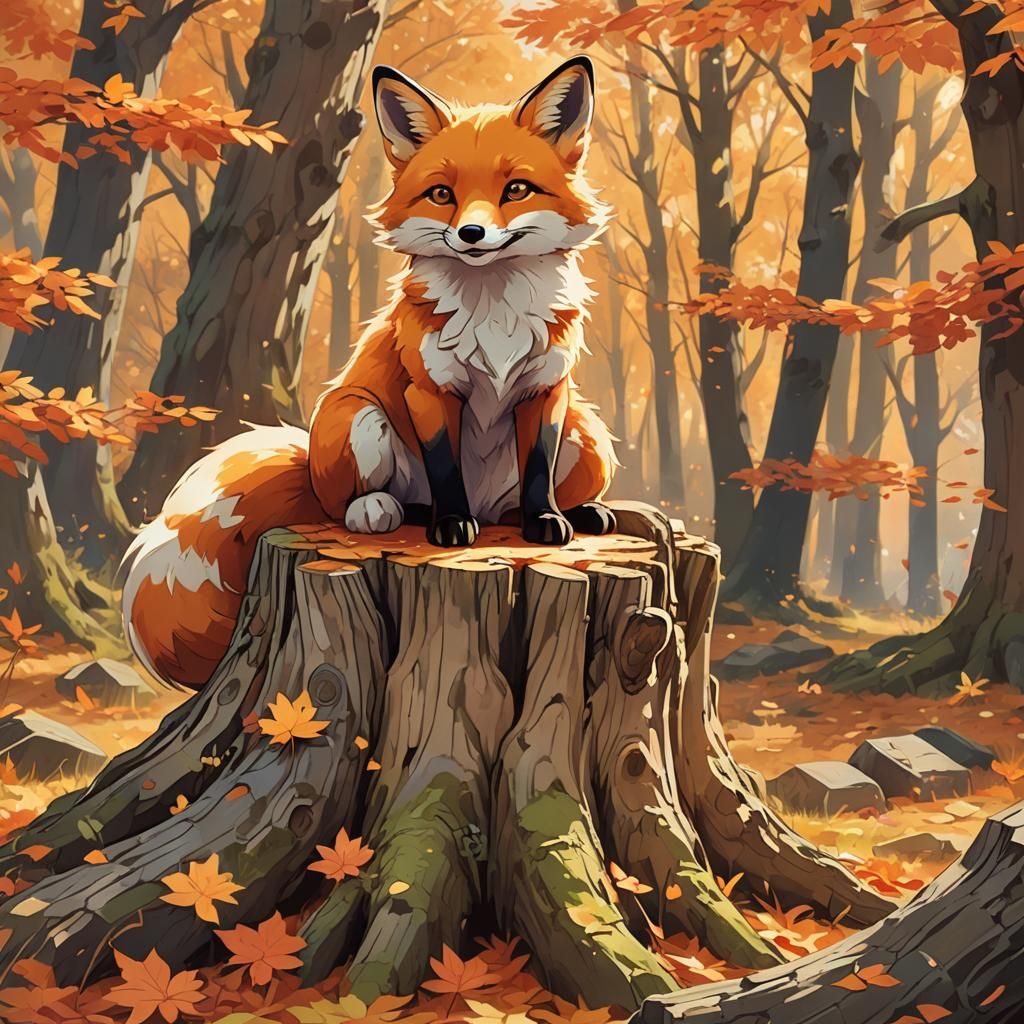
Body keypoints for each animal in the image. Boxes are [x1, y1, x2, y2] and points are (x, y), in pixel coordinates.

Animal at [122, 55, 619, 688]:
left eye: (516, 190)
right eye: (441, 194)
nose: (471, 234)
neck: (494, 310)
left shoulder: (547, 391)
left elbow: (537, 469)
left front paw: (547, 520)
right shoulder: (428, 391)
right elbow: (444, 466)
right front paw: (449, 525)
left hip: (588, 433)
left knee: (515, 500)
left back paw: (577, 512)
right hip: (359, 416)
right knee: (352, 505)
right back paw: (390, 511)